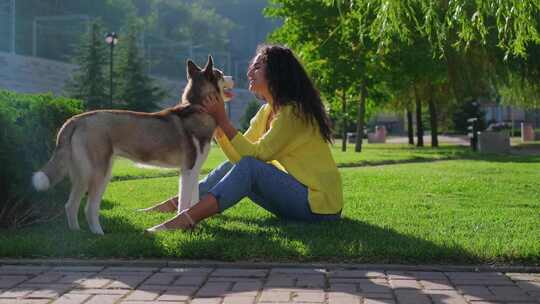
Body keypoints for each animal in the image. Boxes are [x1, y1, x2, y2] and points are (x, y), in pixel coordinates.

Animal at [31, 56, 233, 235]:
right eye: (221, 74)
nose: (233, 77)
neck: (198, 107)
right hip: (99, 173)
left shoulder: (195, 171)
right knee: (89, 208)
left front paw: (197, 227)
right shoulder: (188, 171)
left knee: (71, 205)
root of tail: (76, 119)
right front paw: (185, 230)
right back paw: (98, 234)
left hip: (85, 175)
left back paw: (76, 233)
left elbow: (195, 200)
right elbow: (184, 205)